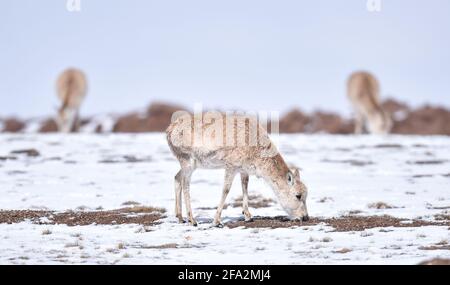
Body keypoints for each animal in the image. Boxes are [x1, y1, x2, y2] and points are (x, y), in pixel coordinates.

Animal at [165, 112, 310, 225]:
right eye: (298, 195)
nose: (305, 217)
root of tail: (169, 129)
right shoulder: (231, 167)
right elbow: (226, 190)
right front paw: (216, 221)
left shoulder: (243, 170)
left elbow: (245, 187)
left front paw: (248, 216)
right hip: (187, 161)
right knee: (185, 184)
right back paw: (192, 220)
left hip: (190, 164)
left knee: (177, 177)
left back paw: (180, 217)